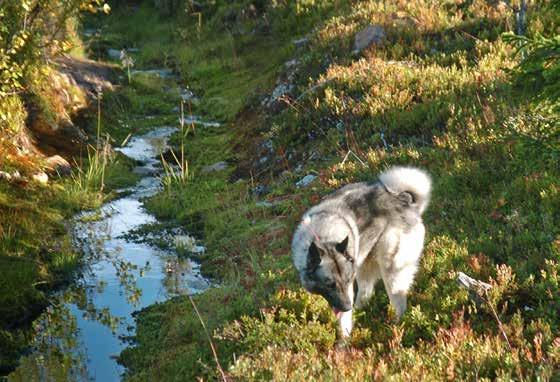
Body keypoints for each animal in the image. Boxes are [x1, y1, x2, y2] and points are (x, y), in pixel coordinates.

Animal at [290, 167, 430, 338]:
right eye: (330, 285)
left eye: (347, 281)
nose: (347, 307)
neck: (323, 238)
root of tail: (404, 201)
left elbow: (343, 323)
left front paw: (343, 342)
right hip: (363, 264)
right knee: (366, 292)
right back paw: (359, 311)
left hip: (391, 269)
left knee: (398, 302)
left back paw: (394, 327)